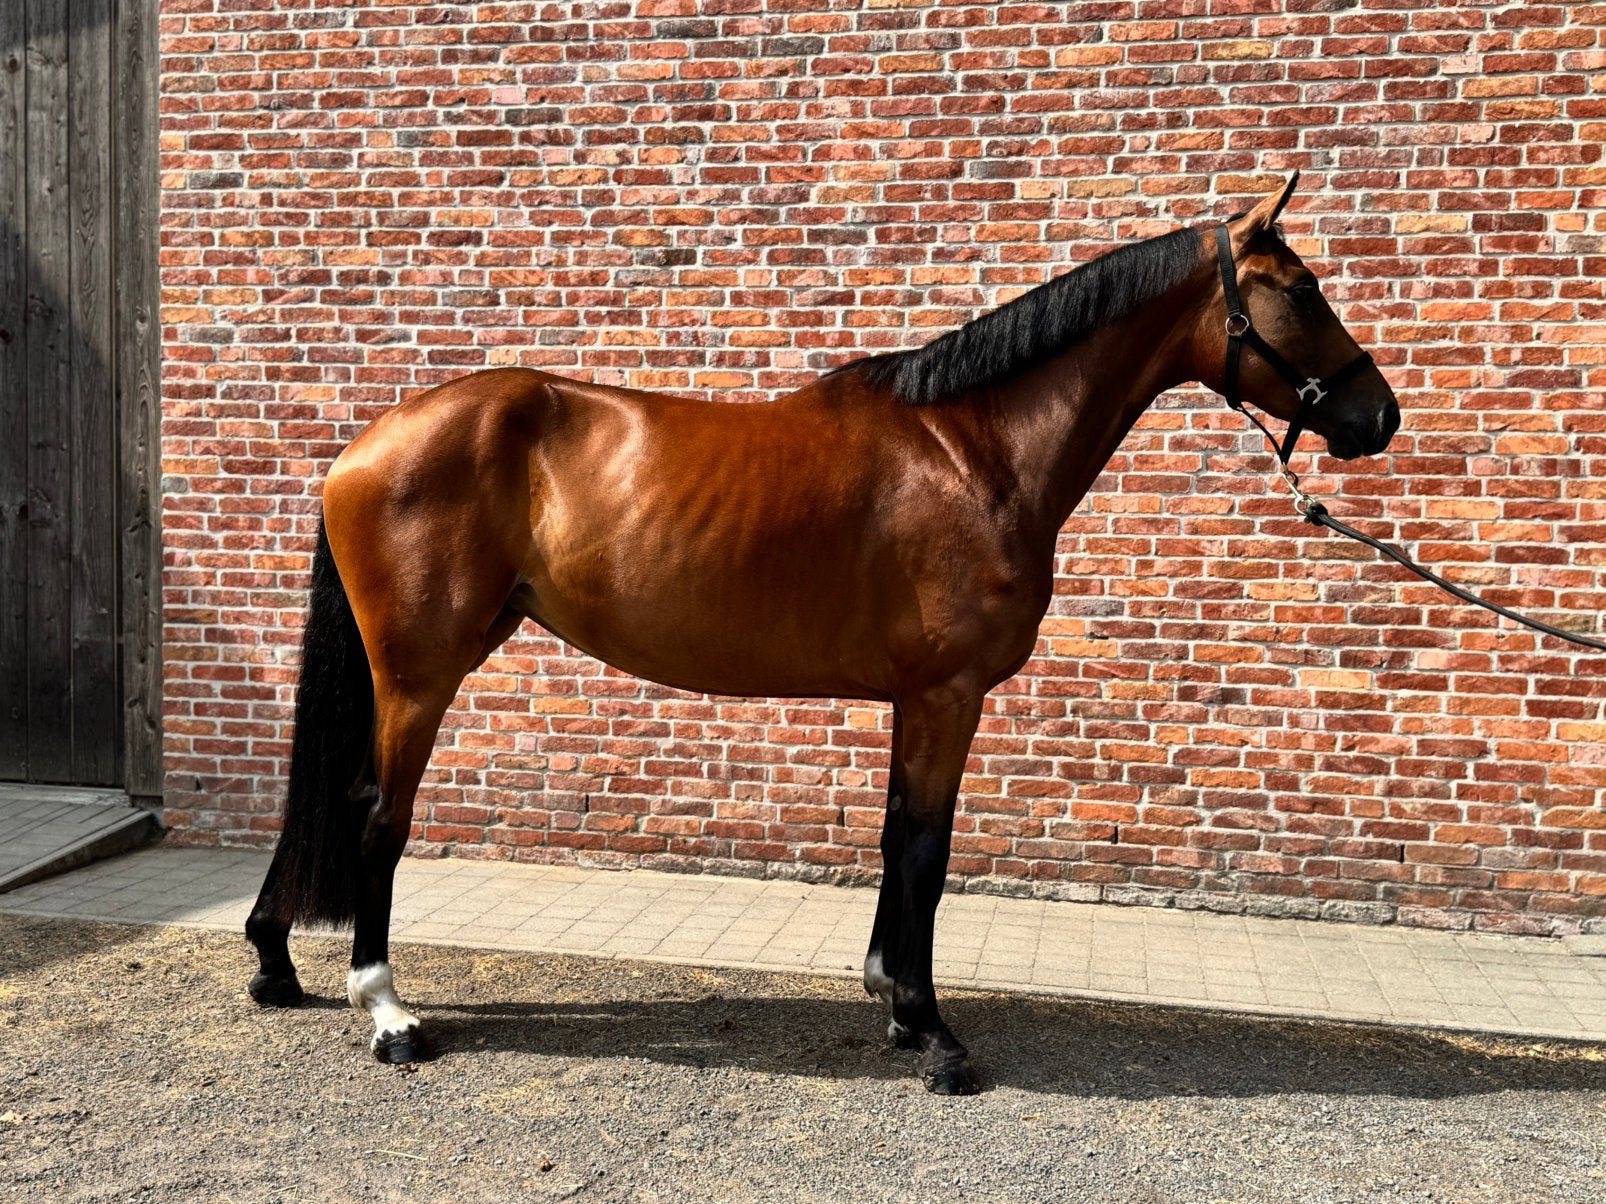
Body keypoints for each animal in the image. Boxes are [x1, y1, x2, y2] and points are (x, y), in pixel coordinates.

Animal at [244, 174, 1400, 1095]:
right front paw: (933, 1034)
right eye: (1301, 288)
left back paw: (275, 962)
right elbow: (927, 849)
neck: (976, 449)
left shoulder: (915, 698)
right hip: (419, 671)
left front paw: (892, 1000)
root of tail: (361, 447)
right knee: (376, 811)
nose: (1377, 416)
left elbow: (895, 838)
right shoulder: (946, 694)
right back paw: (388, 1013)